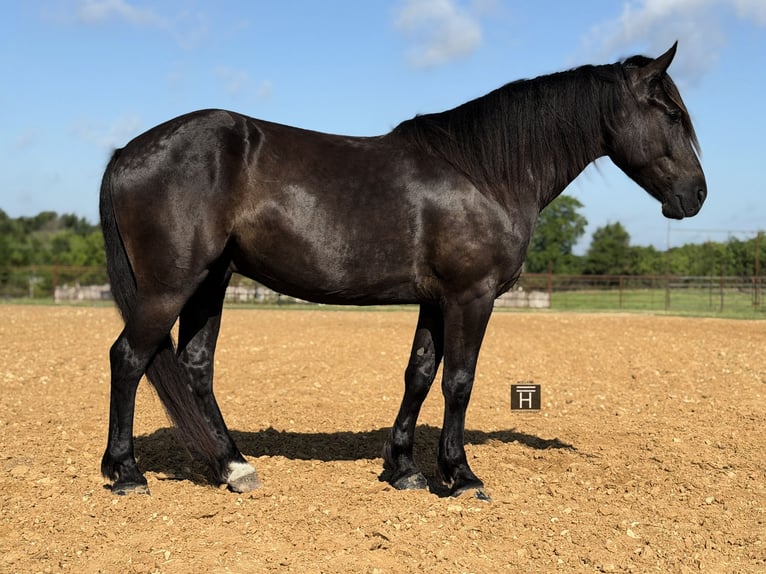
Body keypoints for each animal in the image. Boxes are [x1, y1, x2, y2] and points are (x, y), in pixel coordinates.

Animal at [99, 43, 705, 499]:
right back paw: (126, 473)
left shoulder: (436, 299)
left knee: (195, 365)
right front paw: (460, 476)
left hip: (212, 279)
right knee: (128, 357)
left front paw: (404, 469)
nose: (696, 195)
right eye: (672, 114)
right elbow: (459, 379)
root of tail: (128, 150)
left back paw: (234, 467)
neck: (483, 172)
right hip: (171, 285)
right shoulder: (471, 296)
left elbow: (419, 373)